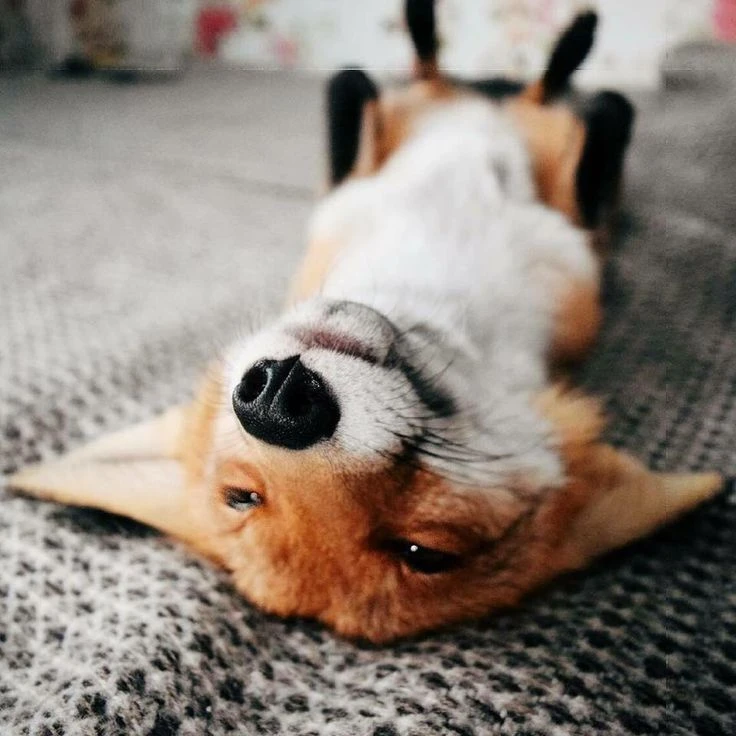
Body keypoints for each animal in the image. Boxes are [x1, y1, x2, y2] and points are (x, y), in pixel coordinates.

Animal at [9, 1, 726, 643]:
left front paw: (562, 52)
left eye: (423, 552)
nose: (277, 406)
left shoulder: (570, 212)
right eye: (242, 496)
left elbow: (581, 120)